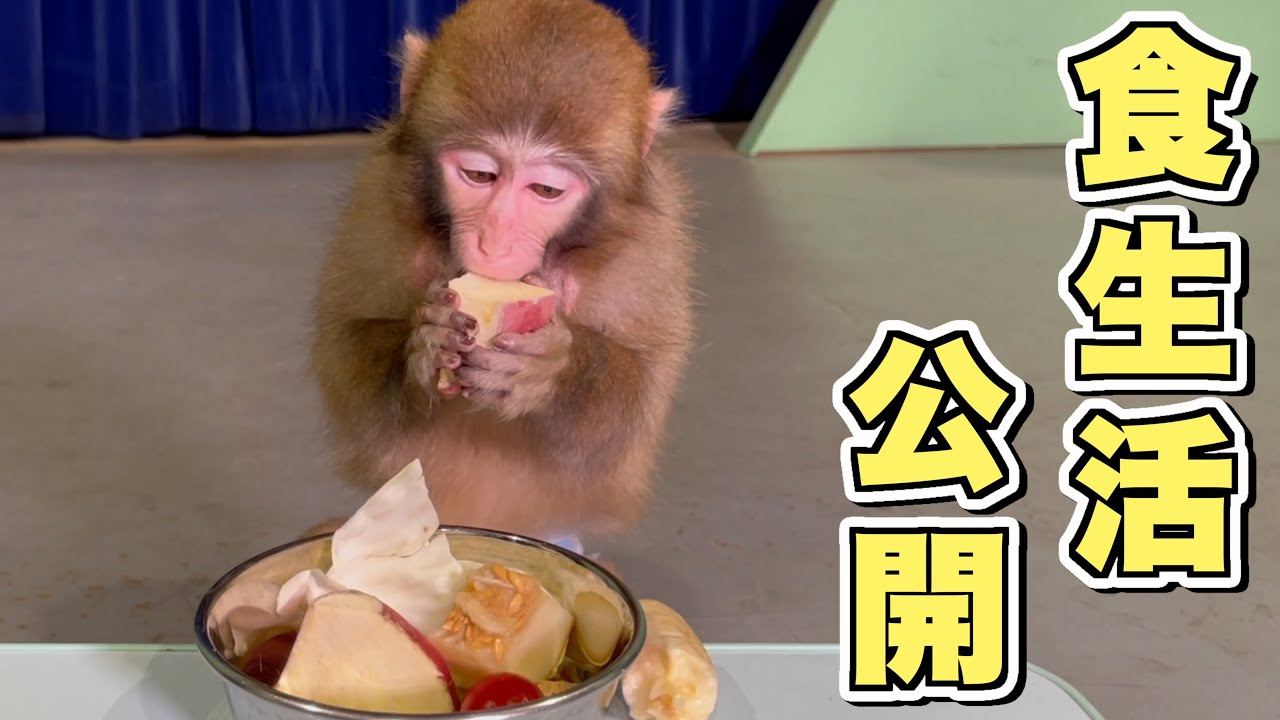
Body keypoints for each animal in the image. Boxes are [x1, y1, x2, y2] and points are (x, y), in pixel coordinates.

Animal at [306, 0, 696, 556]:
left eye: (546, 190)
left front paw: (554, 368)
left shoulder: (652, 245)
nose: (495, 242)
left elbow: (630, 414)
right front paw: (424, 345)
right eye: (480, 175)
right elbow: (345, 344)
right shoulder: (378, 195)